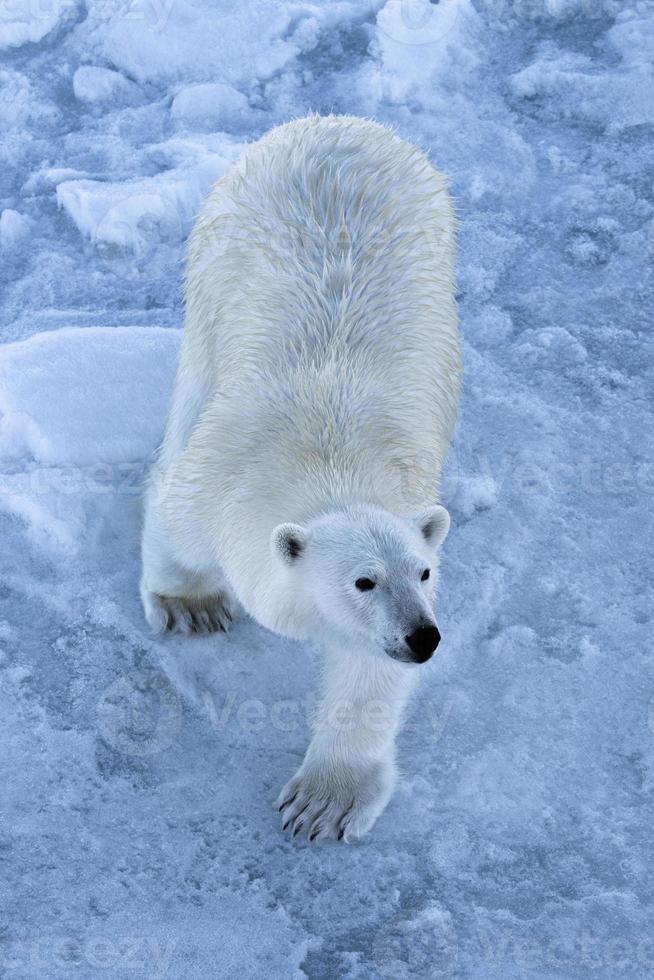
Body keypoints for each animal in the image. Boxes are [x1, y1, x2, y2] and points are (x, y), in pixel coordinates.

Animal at [144, 113, 462, 836]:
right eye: (363, 580)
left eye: (424, 572)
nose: (423, 637)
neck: (328, 458)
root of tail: (335, 122)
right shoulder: (217, 478)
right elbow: (174, 521)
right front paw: (190, 605)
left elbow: (366, 675)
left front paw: (325, 801)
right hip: (215, 261)